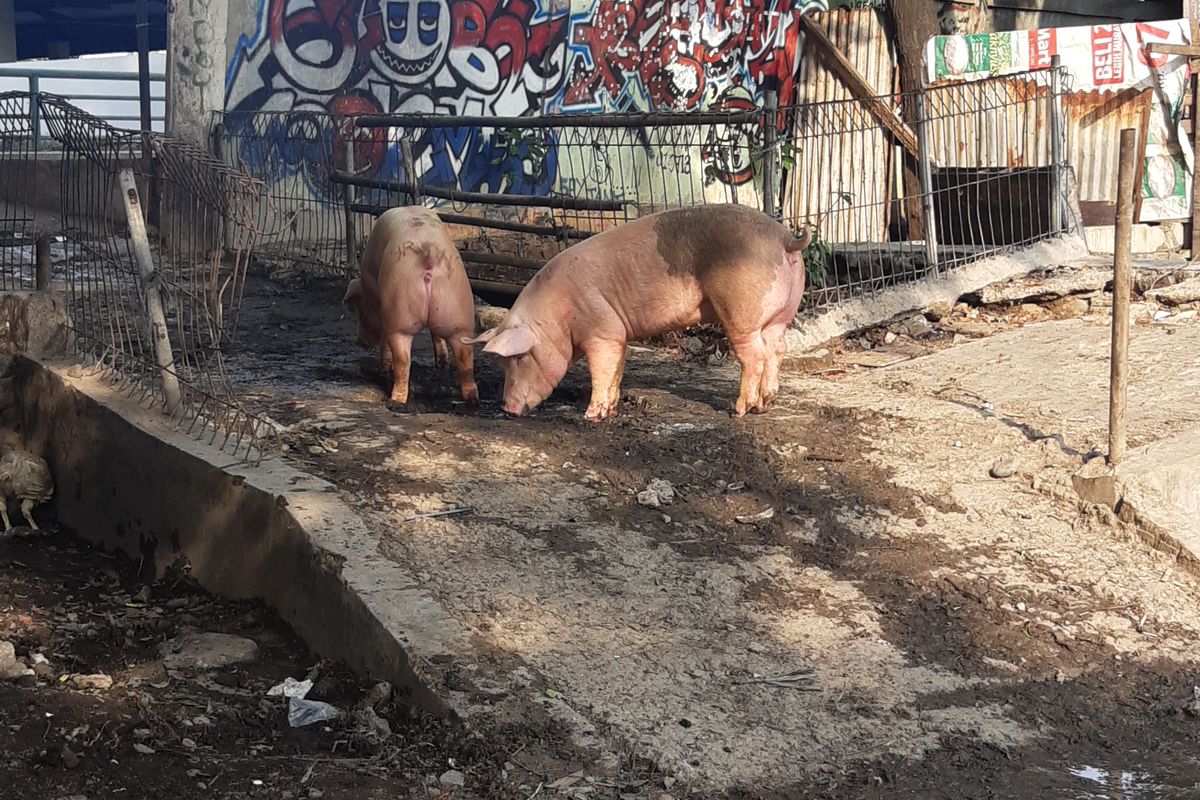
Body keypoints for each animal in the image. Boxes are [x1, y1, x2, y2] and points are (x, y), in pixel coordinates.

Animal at [343, 206, 477, 407]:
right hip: (459, 315)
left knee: (402, 361)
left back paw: (394, 400)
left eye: (359, 310)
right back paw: (470, 398)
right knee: (465, 359)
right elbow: (437, 337)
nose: (360, 342)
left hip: (398, 315)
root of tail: (428, 256)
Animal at [463, 203, 811, 422]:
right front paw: (611, 409)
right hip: (780, 316)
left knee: (754, 357)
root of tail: (785, 239)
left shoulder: (601, 330)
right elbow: (616, 369)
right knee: (777, 349)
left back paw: (737, 410)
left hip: (741, 313)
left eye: (518, 358)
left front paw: (590, 416)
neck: (557, 316)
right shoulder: (619, 334)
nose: (507, 408)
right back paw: (765, 405)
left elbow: (601, 370)